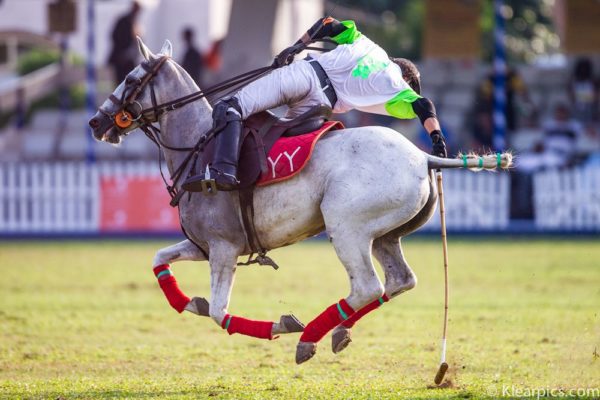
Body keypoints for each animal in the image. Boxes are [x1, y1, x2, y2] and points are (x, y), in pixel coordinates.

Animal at [89, 39, 510, 364]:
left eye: (130, 78)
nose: (95, 122)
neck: (197, 145)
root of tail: (424, 158)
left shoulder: (223, 246)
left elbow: (219, 312)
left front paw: (281, 324)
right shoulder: (205, 244)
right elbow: (159, 260)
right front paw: (188, 301)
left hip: (346, 227)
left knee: (367, 286)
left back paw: (310, 338)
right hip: (386, 234)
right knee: (400, 279)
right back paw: (339, 331)